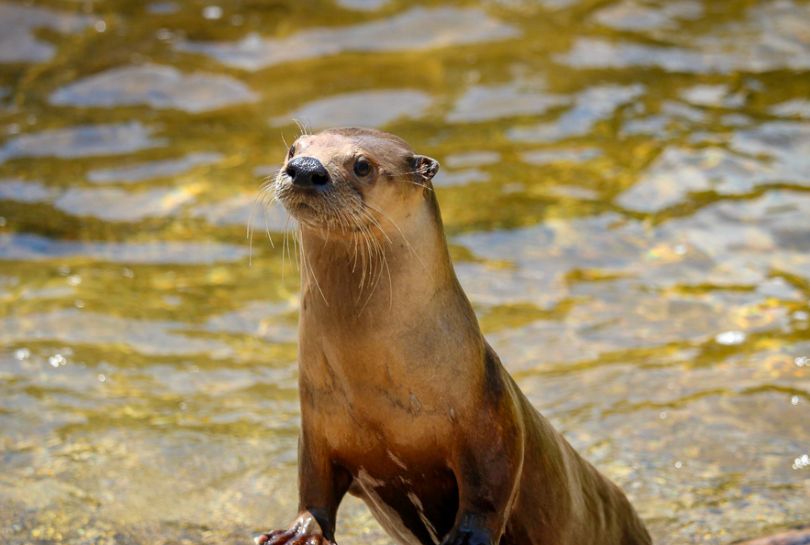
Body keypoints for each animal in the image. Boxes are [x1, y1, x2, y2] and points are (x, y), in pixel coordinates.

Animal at [255, 128, 809, 545]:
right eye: (293, 147)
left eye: (362, 165)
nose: (306, 168)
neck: (381, 388)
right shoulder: (318, 423)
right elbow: (314, 486)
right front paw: (296, 532)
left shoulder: (489, 415)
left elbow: (489, 489)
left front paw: (467, 539)